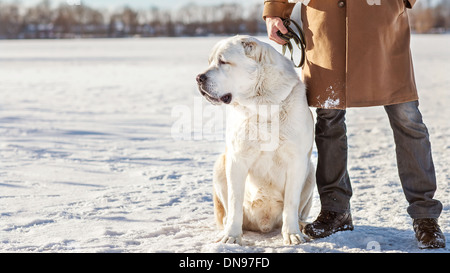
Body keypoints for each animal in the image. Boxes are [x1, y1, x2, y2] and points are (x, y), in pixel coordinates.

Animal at [195, 35, 314, 244]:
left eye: (223, 61)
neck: (262, 106)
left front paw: (292, 234)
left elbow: (291, 203)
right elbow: (235, 201)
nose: (199, 78)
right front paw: (231, 236)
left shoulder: (297, 161)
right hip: (220, 165)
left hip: (312, 170)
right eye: (210, 62)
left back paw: (302, 225)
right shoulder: (236, 159)